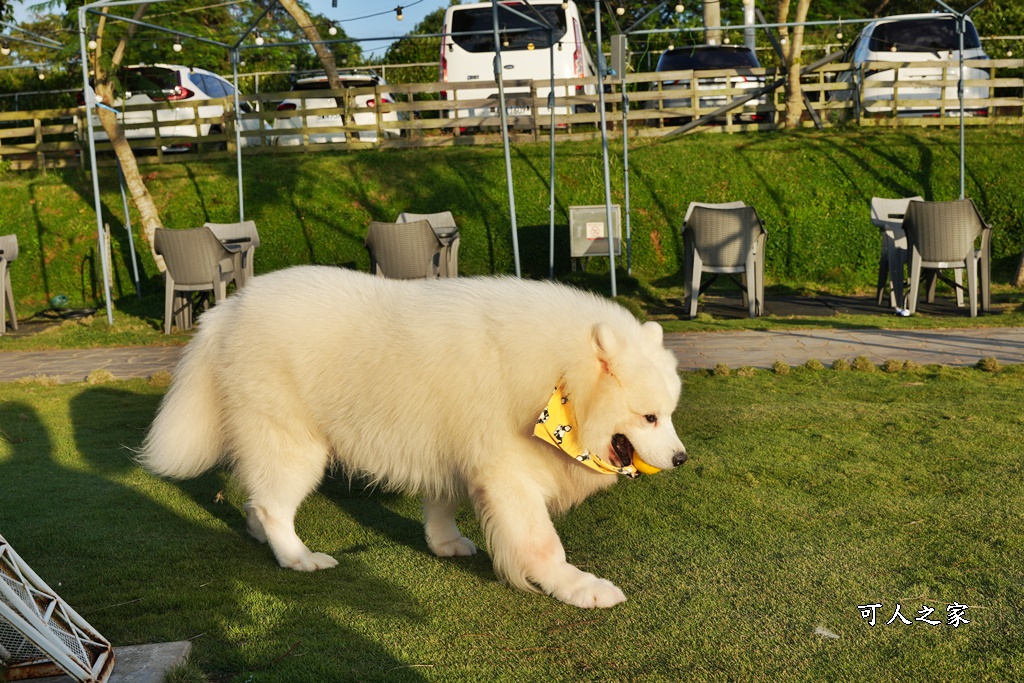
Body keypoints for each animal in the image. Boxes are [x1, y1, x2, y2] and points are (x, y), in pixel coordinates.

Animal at [138, 266, 688, 610]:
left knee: (256, 498)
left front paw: (444, 544)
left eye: (670, 415)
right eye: (649, 418)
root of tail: (224, 312)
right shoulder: (508, 474)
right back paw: (297, 558)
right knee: (274, 504)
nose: (682, 459)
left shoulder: (451, 449)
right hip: (295, 443)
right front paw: (580, 588)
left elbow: (441, 506)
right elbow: (540, 547)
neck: (560, 381)